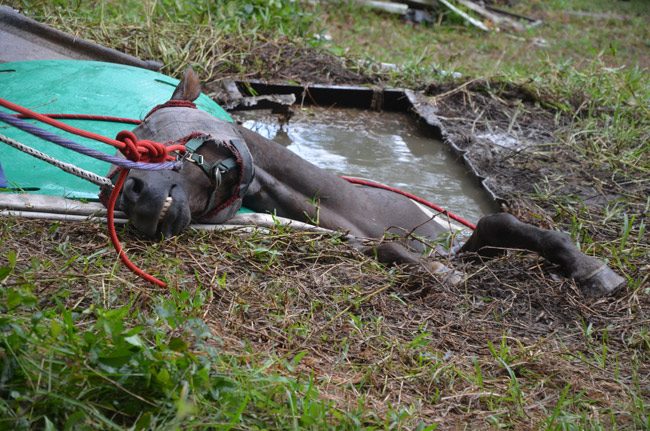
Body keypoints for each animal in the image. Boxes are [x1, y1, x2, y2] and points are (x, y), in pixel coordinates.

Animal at [101, 69, 624, 298]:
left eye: (155, 133)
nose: (132, 194)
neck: (360, 212)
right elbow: (392, 252)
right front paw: (439, 275)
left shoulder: (455, 240)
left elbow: (500, 222)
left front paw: (592, 269)